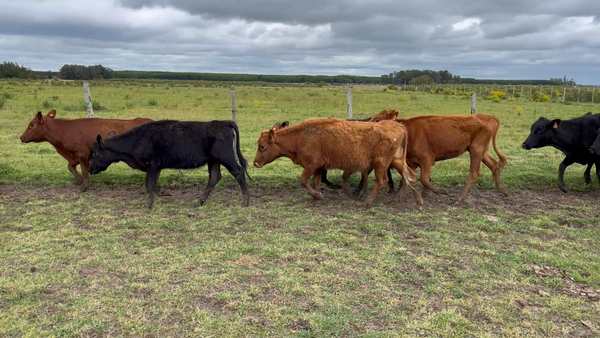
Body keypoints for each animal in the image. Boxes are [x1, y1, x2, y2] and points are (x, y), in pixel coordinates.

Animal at [20, 109, 152, 191]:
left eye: (31, 125)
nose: (21, 137)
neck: (63, 130)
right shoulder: (75, 156)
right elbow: (70, 167)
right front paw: (79, 179)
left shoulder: (82, 153)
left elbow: (84, 170)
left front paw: (84, 186)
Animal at [88, 120, 248, 207]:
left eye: (94, 153)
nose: (90, 169)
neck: (136, 141)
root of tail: (223, 123)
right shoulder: (153, 167)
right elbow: (151, 184)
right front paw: (163, 193)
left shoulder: (152, 165)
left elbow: (150, 185)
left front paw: (150, 204)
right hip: (213, 161)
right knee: (214, 177)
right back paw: (199, 202)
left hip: (226, 158)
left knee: (238, 172)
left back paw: (246, 200)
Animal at [253, 118, 422, 209]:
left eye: (263, 146)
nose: (255, 163)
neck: (301, 136)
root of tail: (399, 126)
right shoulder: (319, 168)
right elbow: (315, 182)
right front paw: (316, 198)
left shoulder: (312, 165)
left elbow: (303, 180)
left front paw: (317, 195)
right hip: (397, 160)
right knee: (410, 176)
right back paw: (418, 203)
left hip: (381, 163)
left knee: (382, 181)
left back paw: (367, 202)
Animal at [372, 111, 508, 203]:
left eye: (378, 120)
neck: (409, 131)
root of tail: (485, 116)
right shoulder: (411, 162)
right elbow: (406, 179)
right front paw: (398, 198)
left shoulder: (427, 158)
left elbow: (424, 179)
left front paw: (439, 191)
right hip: (481, 151)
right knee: (494, 165)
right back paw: (502, 190)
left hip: (476, 150)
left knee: (474, 173)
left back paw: (460, 199)